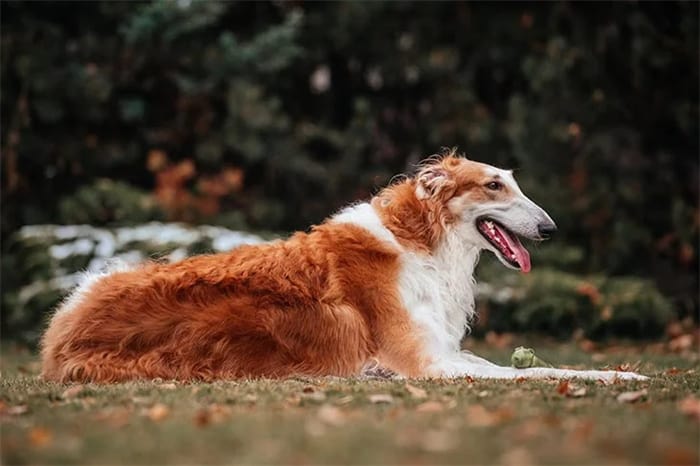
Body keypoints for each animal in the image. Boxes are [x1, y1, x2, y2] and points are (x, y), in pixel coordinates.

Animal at [42, 153, 644, 382]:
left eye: (512, 182)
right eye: (495, 184)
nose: (550, 228)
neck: (418, 242)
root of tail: (60, 332)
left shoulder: (440, 351)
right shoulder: (426, 364)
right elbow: (536, 371)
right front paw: (622, 375)